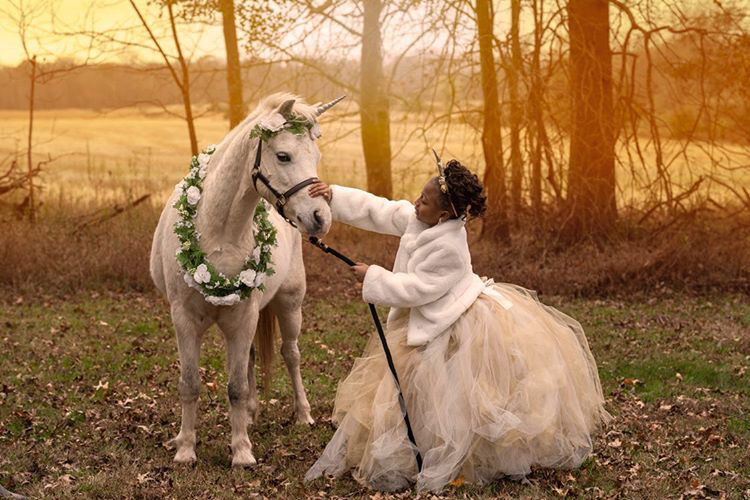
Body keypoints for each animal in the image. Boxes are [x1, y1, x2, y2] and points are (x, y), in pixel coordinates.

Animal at [150, 93, 338, 464]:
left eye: (316, 157)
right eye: (283, 156)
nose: (320, 218)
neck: (218, 232)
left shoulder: (243, 317)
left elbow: (235, 386)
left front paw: (241, 451)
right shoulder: (185, 320)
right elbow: (190, 384)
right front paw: (185, 447)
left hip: (289, 305)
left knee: (291, 354)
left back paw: (302, 414)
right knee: (252, 357)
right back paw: (250, 415)